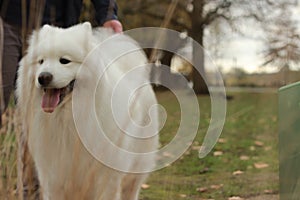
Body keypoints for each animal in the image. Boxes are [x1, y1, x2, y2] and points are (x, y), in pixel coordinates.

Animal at [15, 22, 159, 199]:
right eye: (41, 61)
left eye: (65, 61)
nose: (43, 77)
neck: (68, 119)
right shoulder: (53, 176)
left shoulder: (104, 178)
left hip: (135, 172)